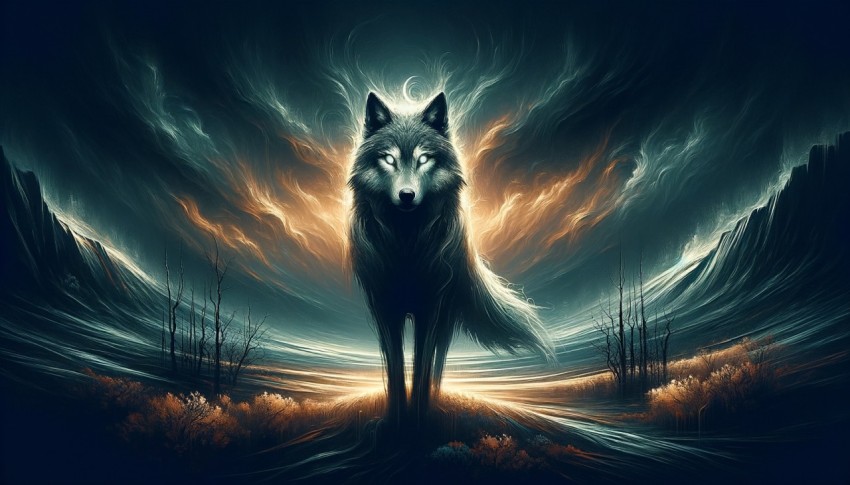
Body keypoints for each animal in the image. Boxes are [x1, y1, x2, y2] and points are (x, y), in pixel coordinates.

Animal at [348, 92, 554, 428]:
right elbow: (395, 369)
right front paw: (396, 420)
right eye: (389, 159)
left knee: (438, 364)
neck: (407, 245)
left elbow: (421, 368)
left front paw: (419, 419)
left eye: (424, 158)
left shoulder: (431, 309)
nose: (407, 195)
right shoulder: (386, 310)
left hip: (445, 316)